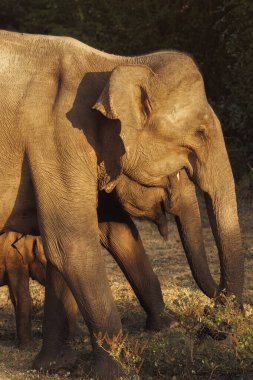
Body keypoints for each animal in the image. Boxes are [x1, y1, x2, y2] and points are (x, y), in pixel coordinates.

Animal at [0, 31, 243, 378]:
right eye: (200, 132)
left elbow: (104, 234)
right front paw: (117, 370)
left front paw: (54, 365)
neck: (113, 63)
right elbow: (70, 242)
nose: (214, 321)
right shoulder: (58, 139)